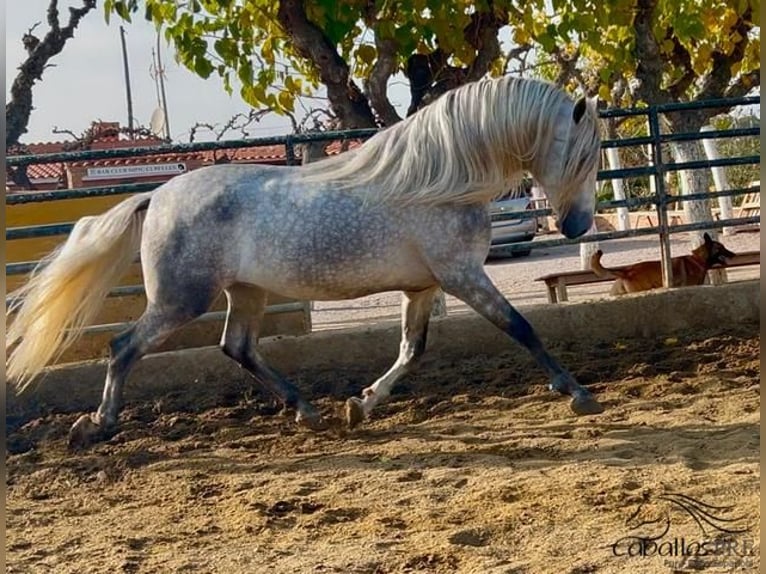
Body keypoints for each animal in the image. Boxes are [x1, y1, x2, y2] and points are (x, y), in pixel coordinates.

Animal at [6, 75, 608, 450]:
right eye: (582, 157)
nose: (578, 227)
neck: (439, 180)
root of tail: (154, 197)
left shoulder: (423, 287)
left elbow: (412, 351)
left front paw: (360, 406)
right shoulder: (463, 276)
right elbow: (520, 327)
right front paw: (578, 394)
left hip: (246, 292)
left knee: (237, 347)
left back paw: (307, 409)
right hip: (182, 299)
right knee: (124, 346)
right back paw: (96, 426)